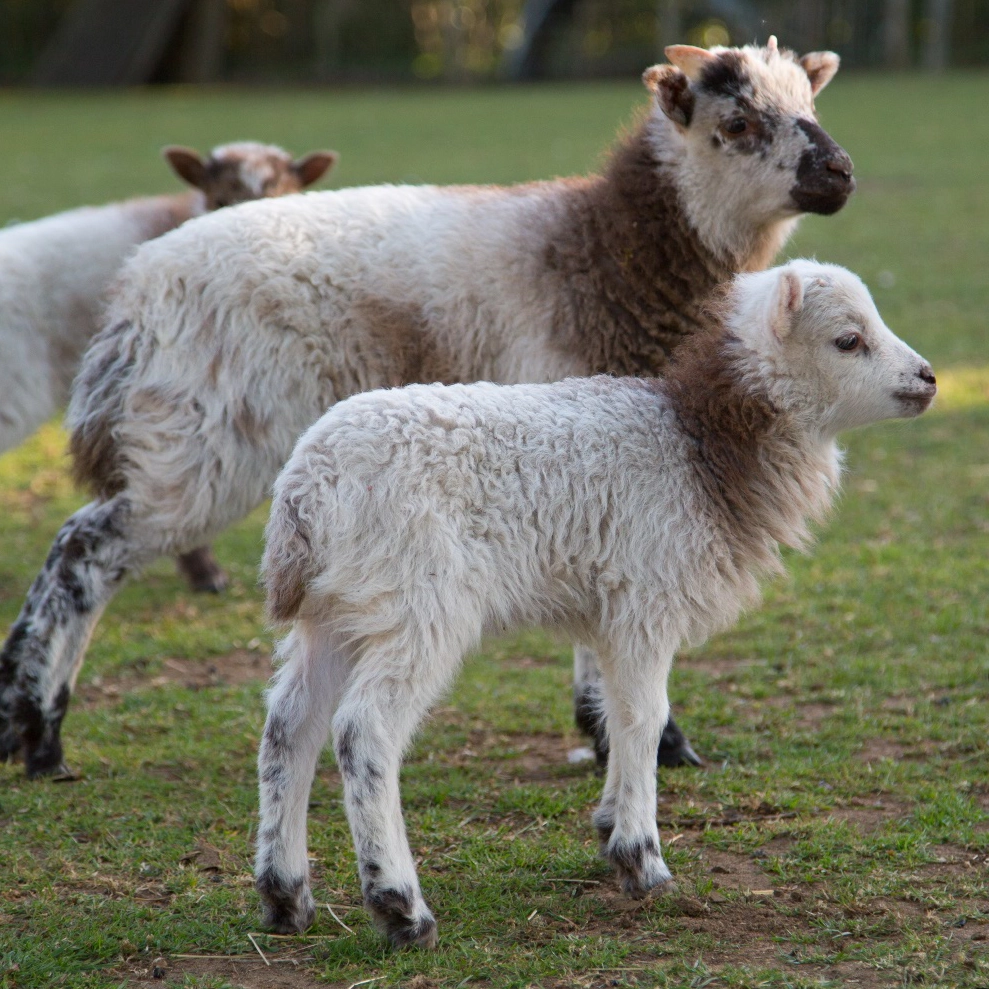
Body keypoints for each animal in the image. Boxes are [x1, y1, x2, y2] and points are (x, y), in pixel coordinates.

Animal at [255, 260, 937, 947]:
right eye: (848, 340)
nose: (929, 378)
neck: (698, 442)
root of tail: (306, 490)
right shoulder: (645, 600)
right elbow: (643, 718)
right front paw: (643, 860)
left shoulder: (611, 615)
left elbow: (614, 712)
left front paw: (611, 826)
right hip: (417, 602)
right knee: (363, 732)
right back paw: (401, 907)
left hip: (337, 611)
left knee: (290, 727)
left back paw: (286, 896)